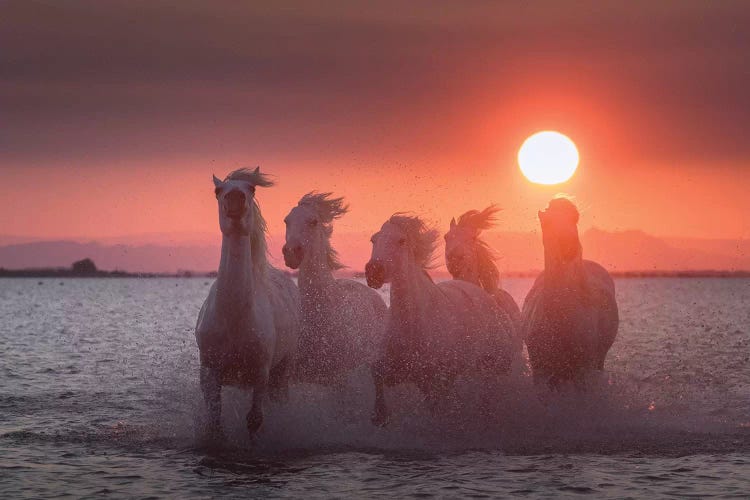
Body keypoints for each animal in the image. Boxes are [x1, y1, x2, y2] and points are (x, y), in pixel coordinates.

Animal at [195, 167, 302, 438]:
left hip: (283, 370)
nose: (235, 199)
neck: (233, 317)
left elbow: (254, 420)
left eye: (251, 189)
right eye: (218, 190)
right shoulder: (210, 373)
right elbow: (215, 422)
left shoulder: (260, 373)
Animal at [366, 214, 516, 426]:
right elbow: (376, 374)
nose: (373, 272)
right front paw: (379, 415)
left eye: (401, 241)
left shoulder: (433, 383)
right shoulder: (394, 370)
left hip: (492, 366)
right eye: (374, 239)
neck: (411, 323)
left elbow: (436, 410)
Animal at [520, 198, 620, 386]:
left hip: (598, 362)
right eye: (547, 222)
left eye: (575, 218)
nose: (569, 246)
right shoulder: (541, 371)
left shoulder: (583, 372)